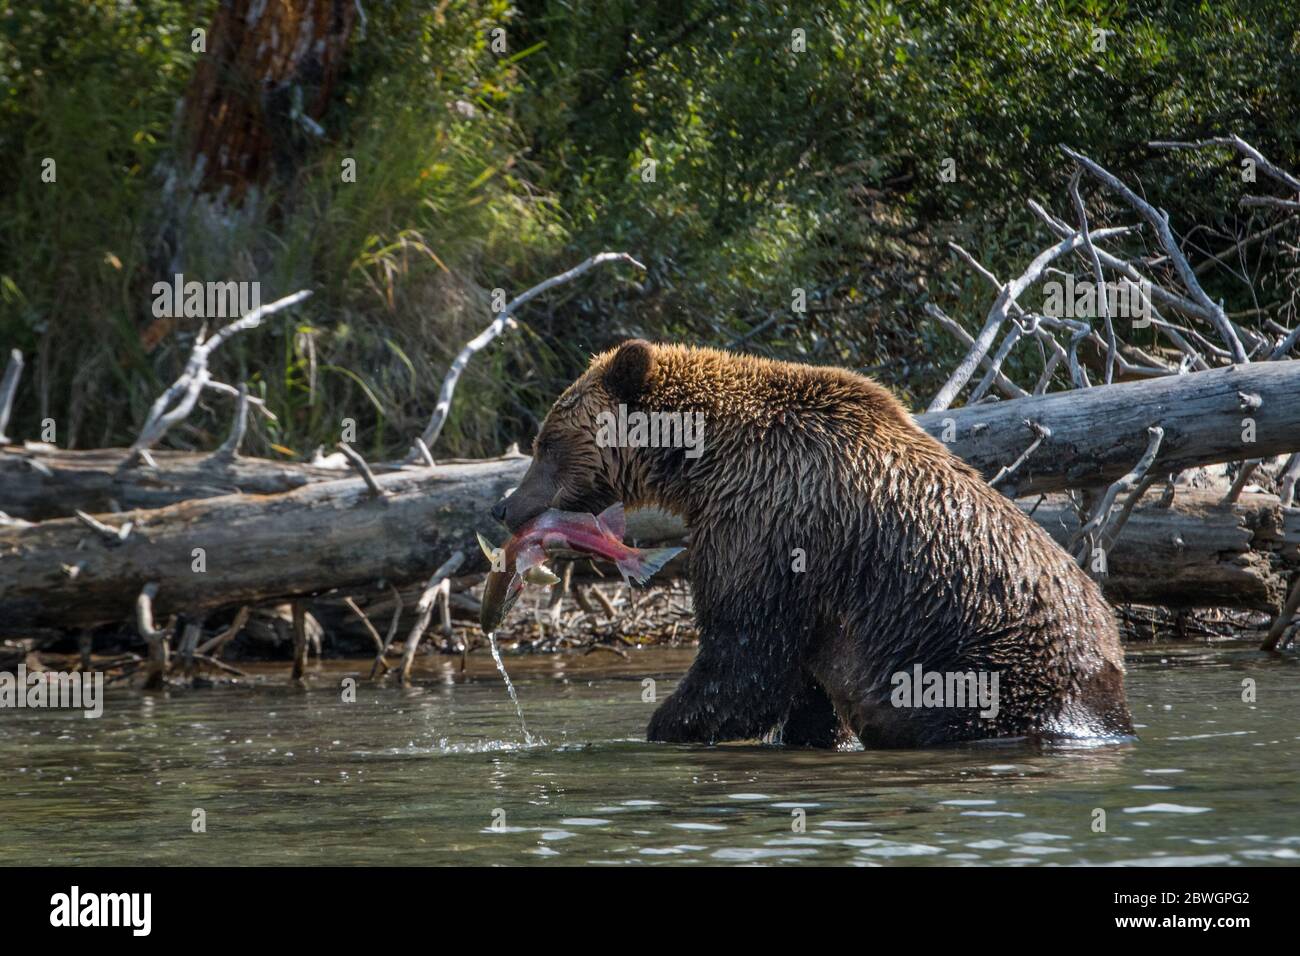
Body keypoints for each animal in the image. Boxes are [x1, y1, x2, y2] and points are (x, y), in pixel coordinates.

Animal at [491, 340, 1133, 749]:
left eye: (546, 441)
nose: (504, 506)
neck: (705, 466)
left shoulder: (771, 528)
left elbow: (745, 660)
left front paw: (665, 726)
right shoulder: (811, 585)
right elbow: (803, 690)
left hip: (977, 664)